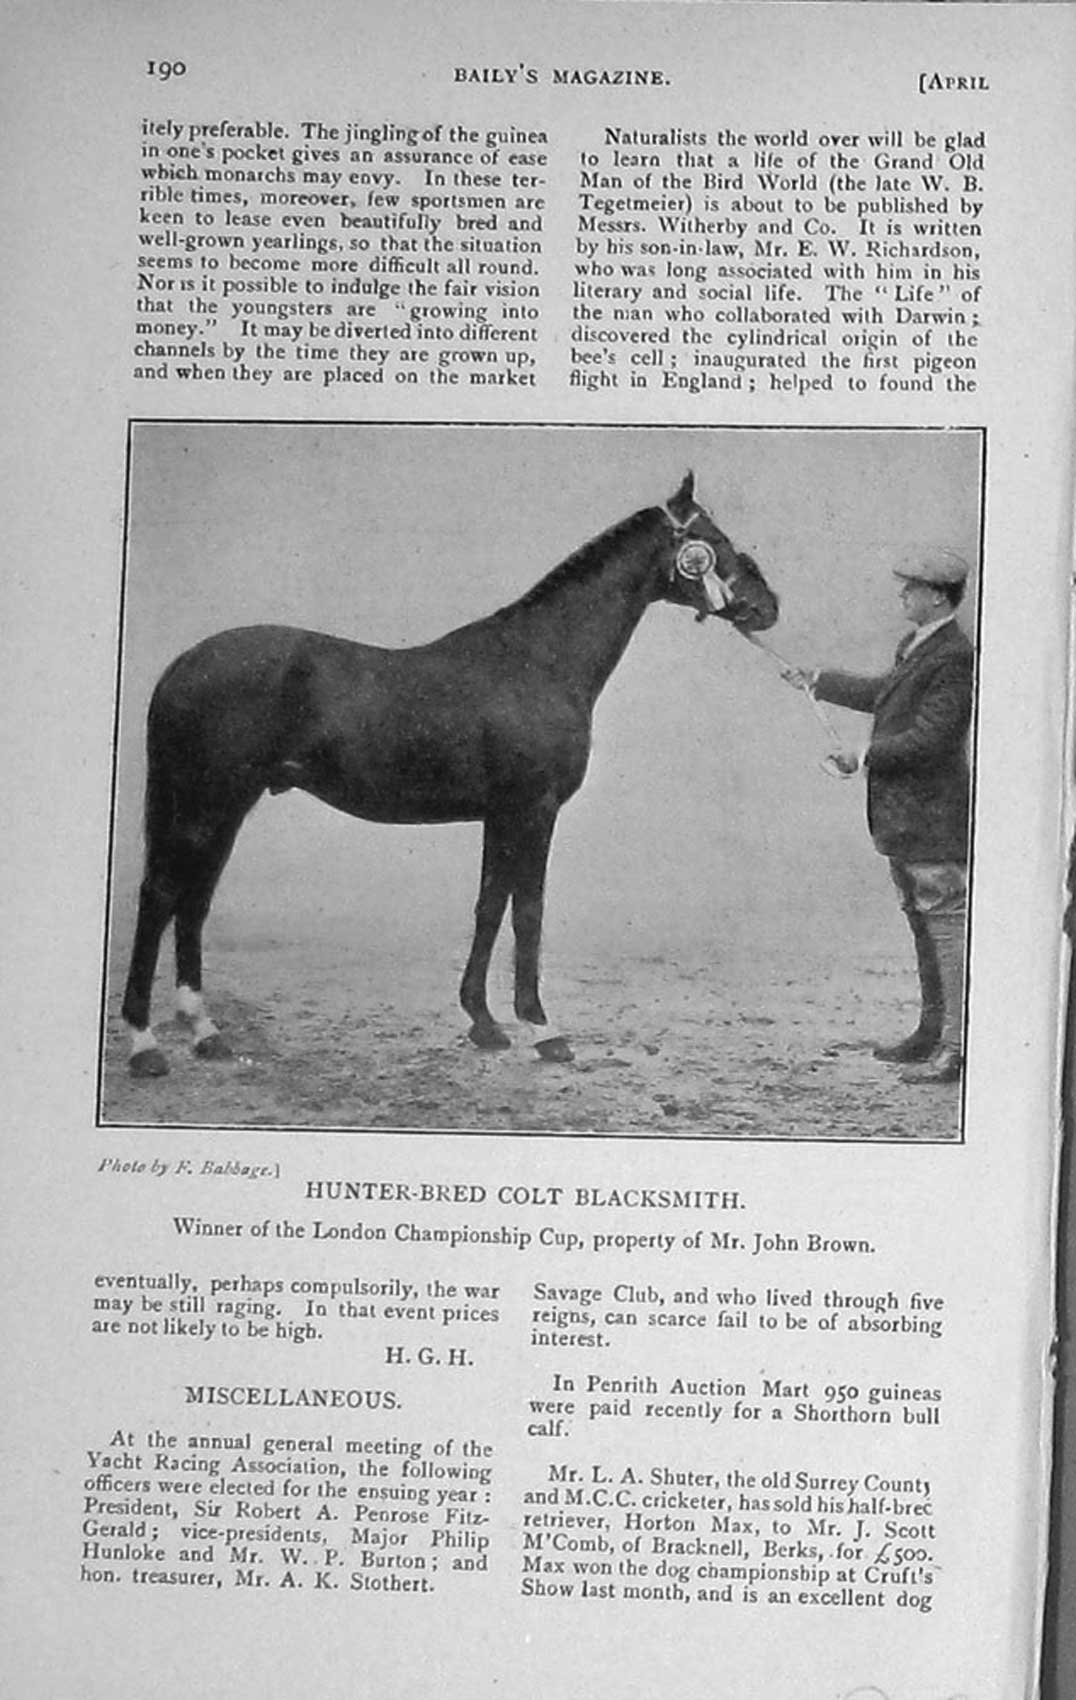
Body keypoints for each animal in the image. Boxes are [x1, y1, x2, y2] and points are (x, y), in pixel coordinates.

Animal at [120, 471, 778, 1076]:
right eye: (713, 539)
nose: (768, 606)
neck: (539, 661)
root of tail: (181, 666)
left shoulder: (501, 815)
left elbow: (489, 906)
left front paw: (484, 1023)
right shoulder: (534, 810)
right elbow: (528, 911)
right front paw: (543, 1029)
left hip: (227, 805)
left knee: (194, 900)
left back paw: (205, 1032)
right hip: (206, 802)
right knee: (161, 895)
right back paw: (145, 1045)